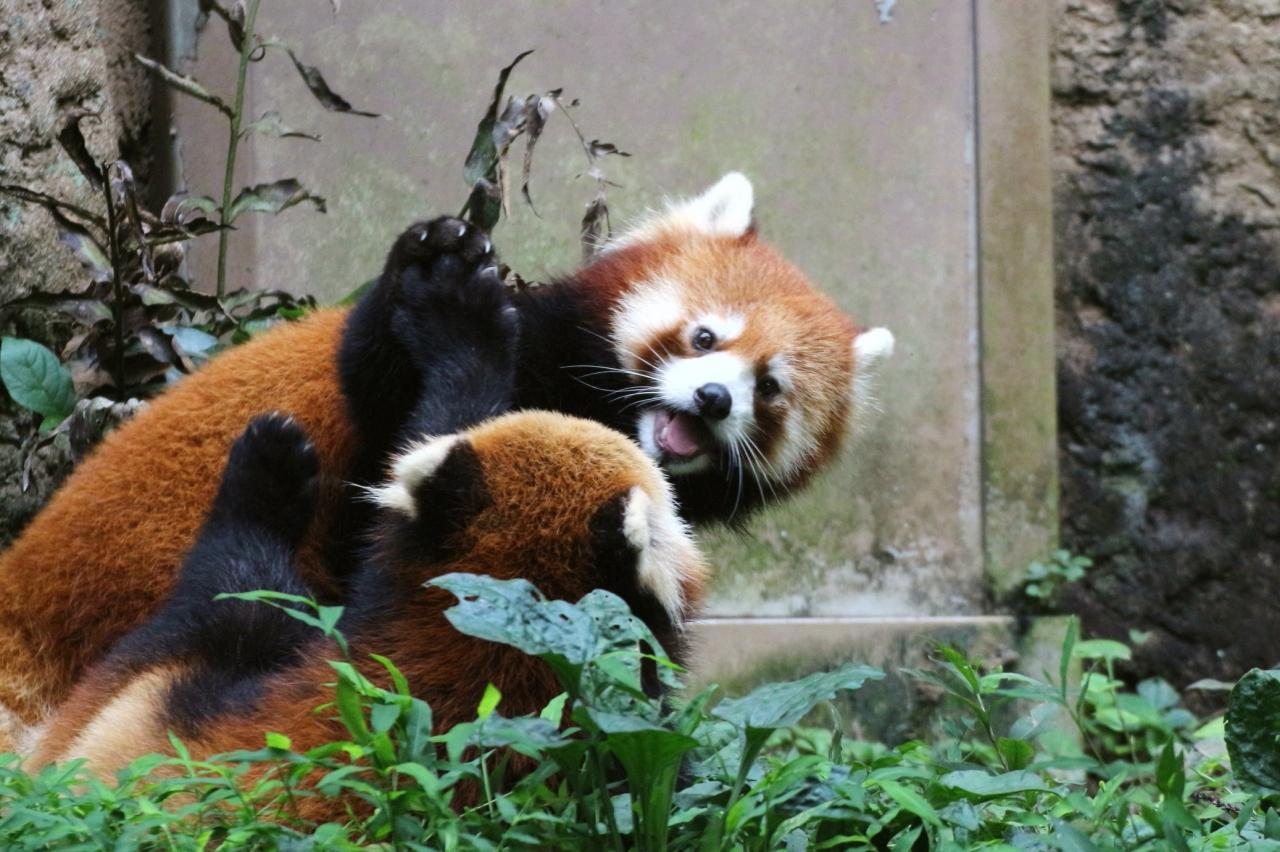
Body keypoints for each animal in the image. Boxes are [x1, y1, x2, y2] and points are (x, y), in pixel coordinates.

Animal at [0, 173, 892, 751]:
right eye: (705, 337)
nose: (711, 399)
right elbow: (387, 387)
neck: (606, 409)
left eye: (768, 388)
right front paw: (431, 275)